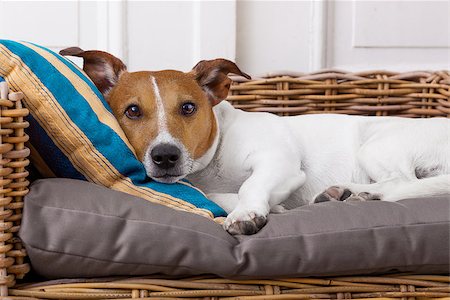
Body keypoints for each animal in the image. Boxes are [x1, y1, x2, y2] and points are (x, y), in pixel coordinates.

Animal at [60, 47, 450, 234]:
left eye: (188, 107)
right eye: (132, 111)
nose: (166, 156)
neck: (213, 165)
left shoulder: (279, 163)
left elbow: (250, 186)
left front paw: (248, 211)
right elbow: (208, 194)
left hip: (379, 147)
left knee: (401, 183)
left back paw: (363, 194)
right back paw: (346, 193)